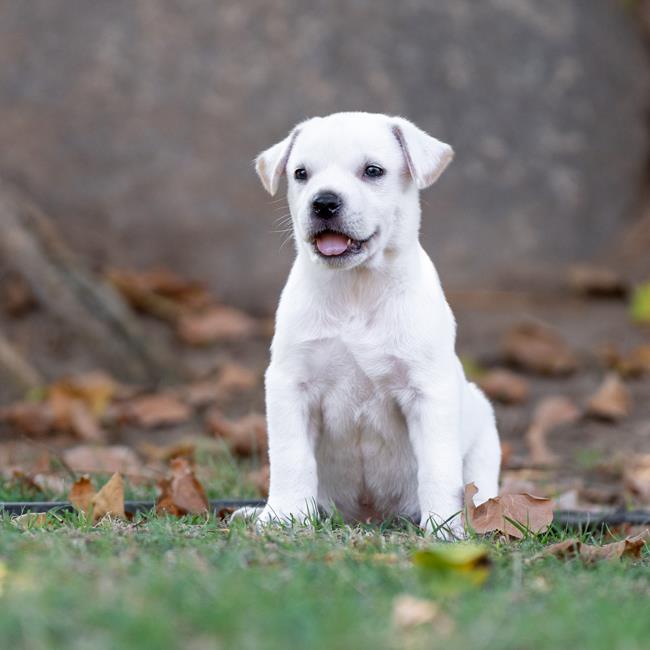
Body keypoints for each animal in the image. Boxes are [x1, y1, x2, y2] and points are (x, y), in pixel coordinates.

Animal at [242, 112, 496, 536]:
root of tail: (372, 518)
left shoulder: (429, 392)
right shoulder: (290, 385)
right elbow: (291, 458)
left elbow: (438, 467)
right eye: (300, 173)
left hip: (484, 432)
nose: (324, 201)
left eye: (373, 171)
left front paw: (443, 529)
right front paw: (283, 517)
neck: (356, 290)